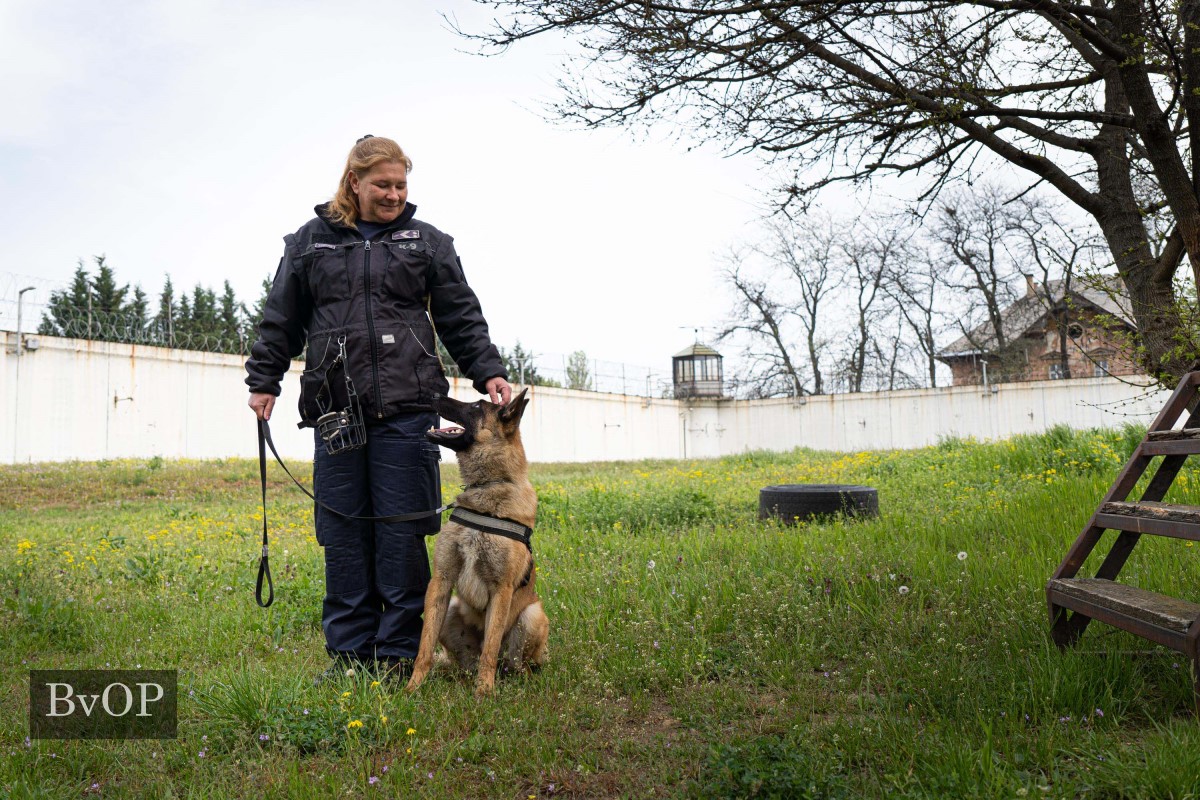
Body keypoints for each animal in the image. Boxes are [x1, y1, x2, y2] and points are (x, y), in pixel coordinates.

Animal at [405, 388, 549, 695]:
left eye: (475, 406)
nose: (434, 393)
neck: (489, 487)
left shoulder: (501, 589)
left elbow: (490, 649)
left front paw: (484, 692)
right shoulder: (441, 581)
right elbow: (424, 646)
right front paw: (412, 688)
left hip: (533, 615)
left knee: (512, 663)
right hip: (450, 611)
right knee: (468, 662)